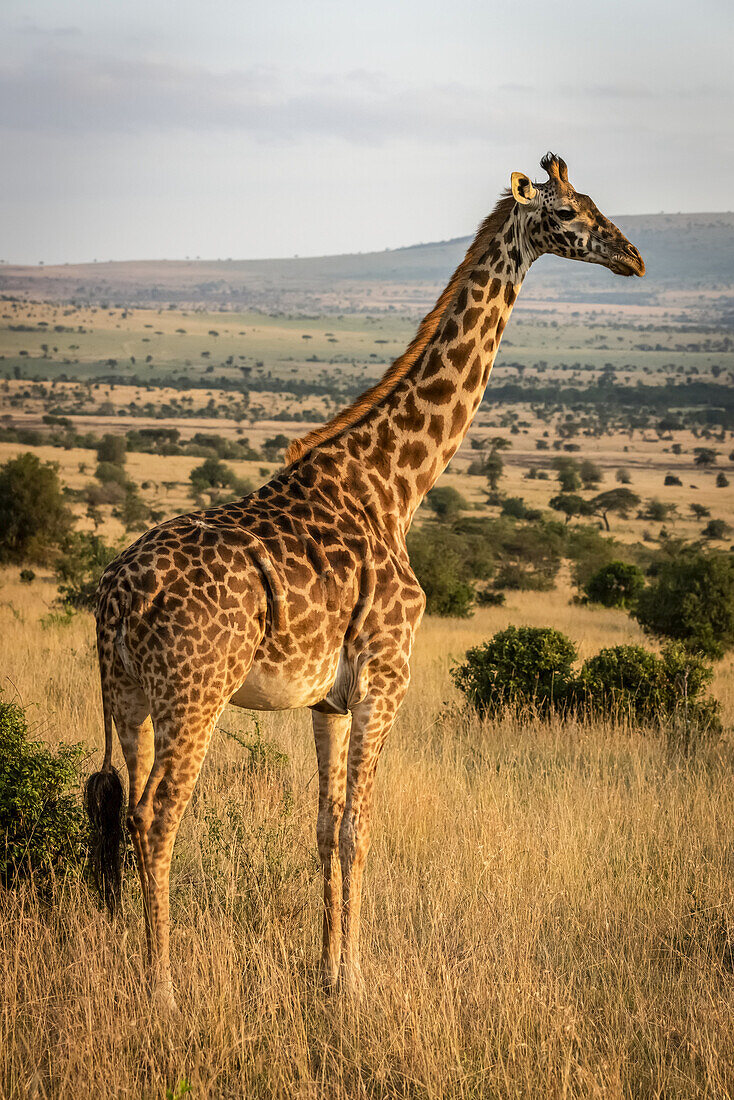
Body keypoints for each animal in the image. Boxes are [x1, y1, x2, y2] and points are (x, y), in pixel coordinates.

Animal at [89, 152, 647, 1007]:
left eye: (594, 206)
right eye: (570, 213)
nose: (633, 257)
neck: (393, 485)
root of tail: (121, 594)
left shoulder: (328, 698)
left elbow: (324, 830)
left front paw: (325, 972)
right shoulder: (388, 678)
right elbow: (359, 830)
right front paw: (353, 982)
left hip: (127, 696)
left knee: (121, 807)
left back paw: (134, 965)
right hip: (196, 691)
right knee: (157, 816)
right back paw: (163, 988)